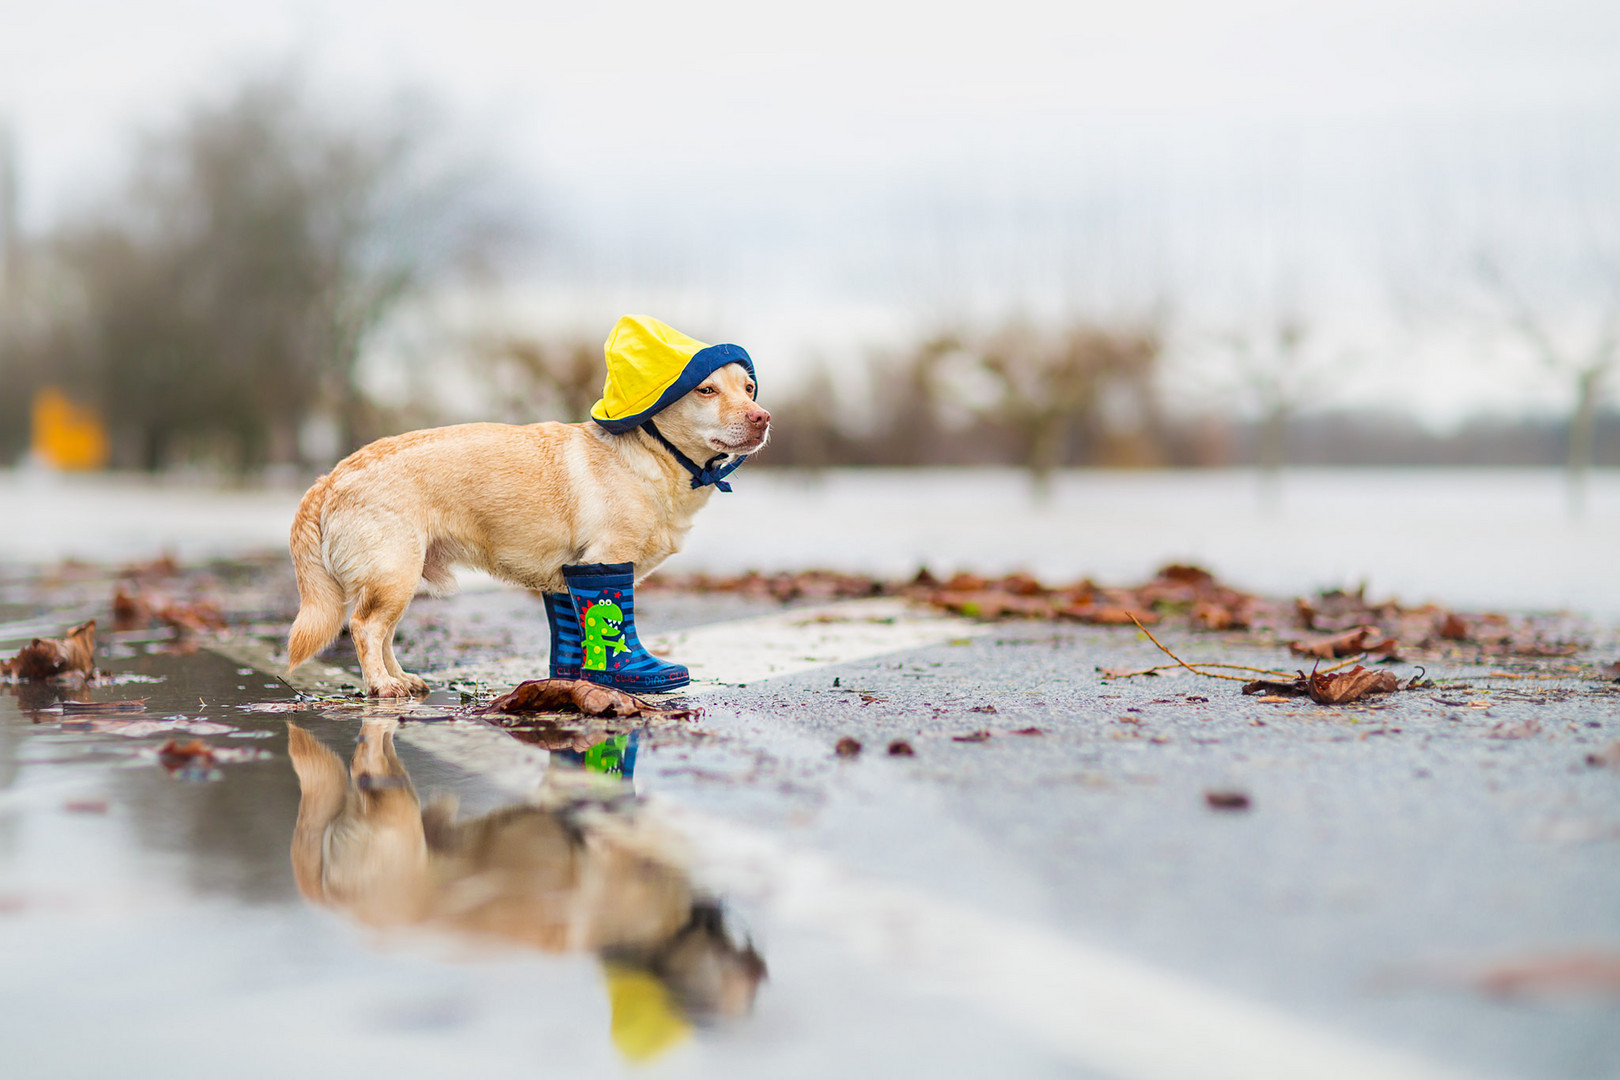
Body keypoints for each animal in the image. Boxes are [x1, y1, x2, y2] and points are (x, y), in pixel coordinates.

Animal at [283, 359, 764, 696]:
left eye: (748, 388)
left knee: (383, 634)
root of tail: (330, 477)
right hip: (392, 575)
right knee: (365, 628)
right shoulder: (606, 558)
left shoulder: (570, 571)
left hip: (399, 579)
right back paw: (382, 686)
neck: (654, 454)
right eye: (706, 390)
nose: (763, 417)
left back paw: (402, 678)